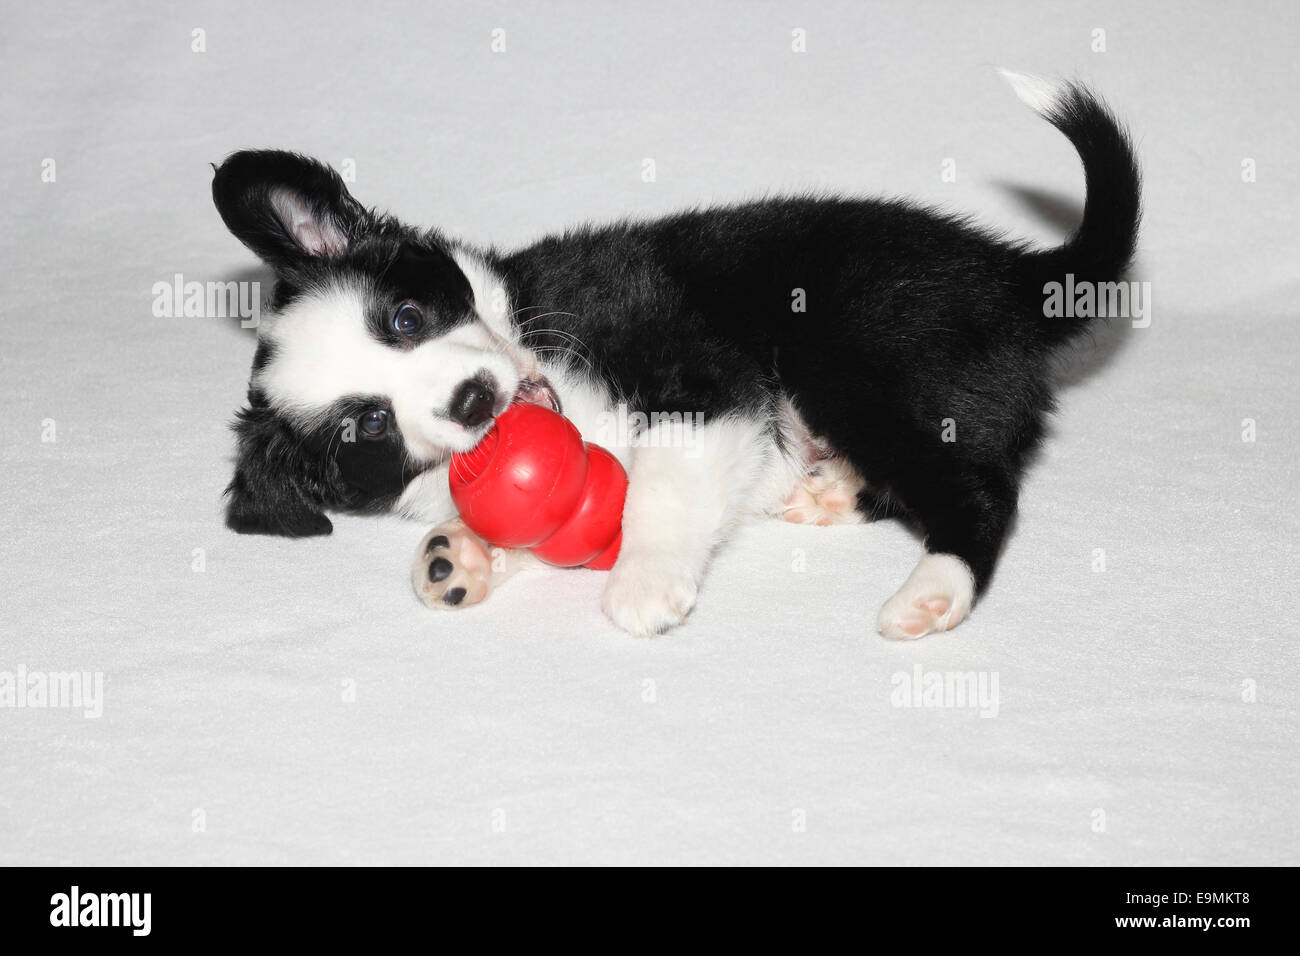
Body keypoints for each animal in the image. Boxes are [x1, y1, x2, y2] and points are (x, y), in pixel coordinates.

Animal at [210, 74, 1138, 639]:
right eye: (367, 426)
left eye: (404, 318)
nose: (474, 398)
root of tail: (1012, 277)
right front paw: (462, 556)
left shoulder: (700, 373)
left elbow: (659, 481)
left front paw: (644, 582)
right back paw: (830, 492)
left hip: (859, 355)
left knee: (981, 491)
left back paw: (929, 592)